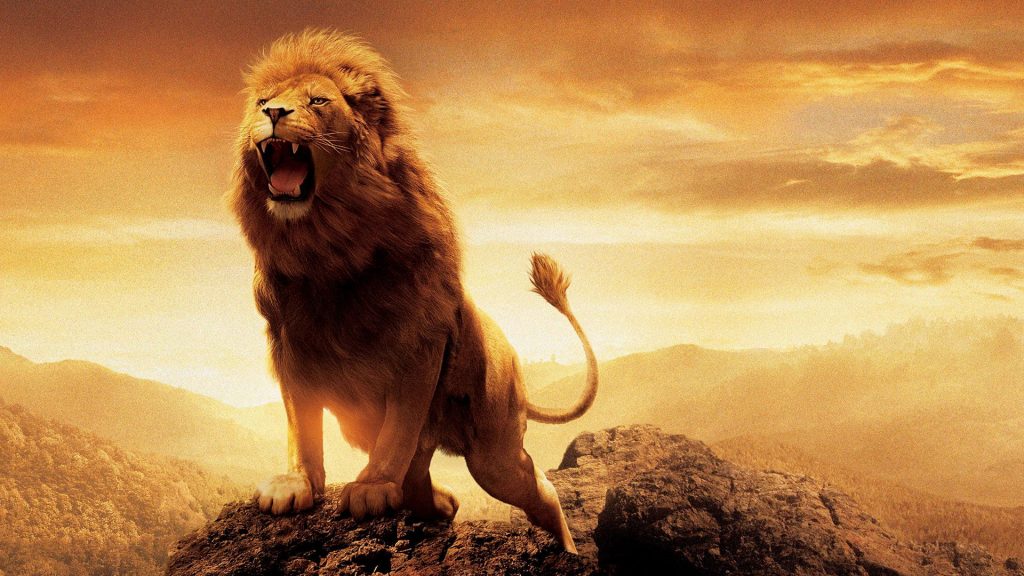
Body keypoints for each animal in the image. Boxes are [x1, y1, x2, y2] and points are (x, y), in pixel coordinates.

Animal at [229, 29, 598, 553]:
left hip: (495, 452)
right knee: (423, 477)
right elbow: (302, 424)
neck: (327, 247)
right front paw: (295, 484)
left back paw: (567, 549)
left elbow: (399, 429)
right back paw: (442, 503)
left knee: (537, 487)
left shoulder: (419, 344)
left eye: (318, 101)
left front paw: (371, 487)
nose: (275, 113)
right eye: (263, 102)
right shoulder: (290, 344)